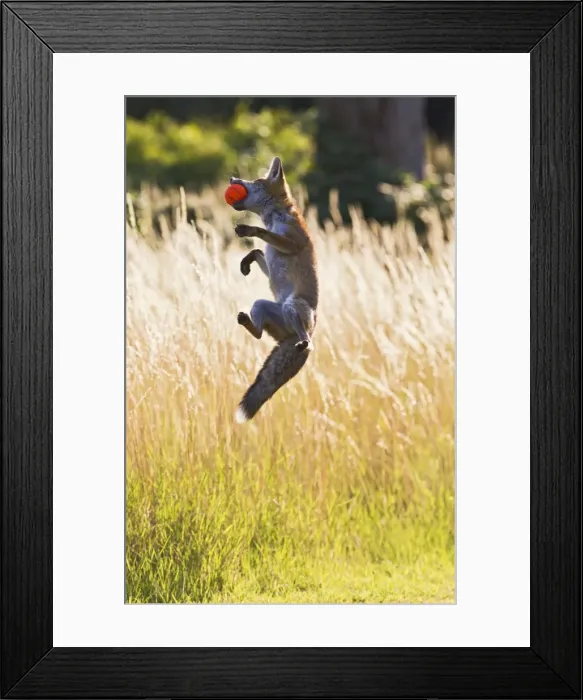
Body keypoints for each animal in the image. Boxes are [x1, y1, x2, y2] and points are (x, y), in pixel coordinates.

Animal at [227, 156, 318, 423]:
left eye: (255, 181)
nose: (232, 178)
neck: (276, 217)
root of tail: (292, 337)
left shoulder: (292, 242)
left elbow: (264, 236)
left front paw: (250, 230)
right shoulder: (269, 255)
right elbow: (257, 251)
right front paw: (245, 262)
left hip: (293, 307)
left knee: (309, 342)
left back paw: (305, 343)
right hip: (261, 305)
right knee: (258, 333)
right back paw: (247, 323)